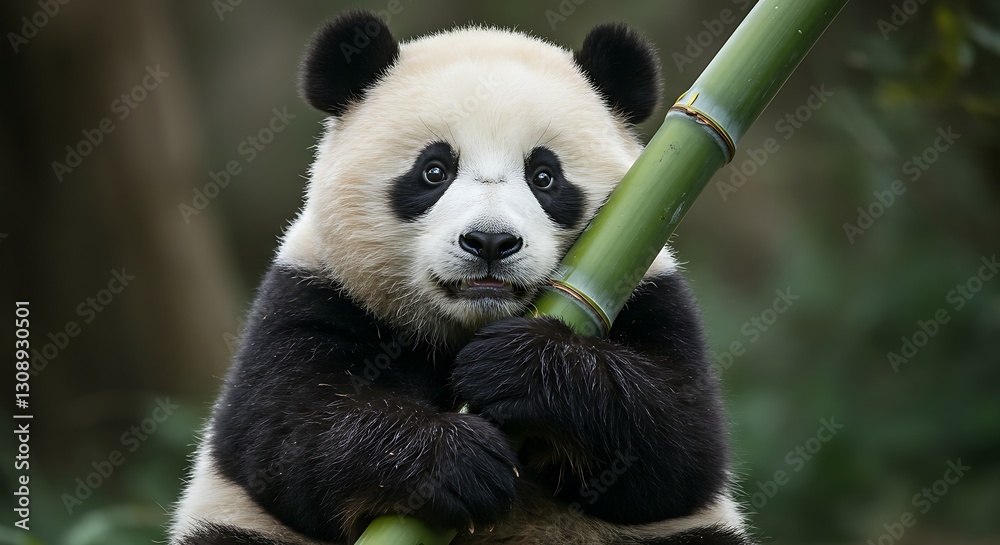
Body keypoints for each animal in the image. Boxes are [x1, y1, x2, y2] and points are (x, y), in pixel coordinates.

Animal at [170, 10, 755, 545]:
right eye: (434, 170)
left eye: (545, 176)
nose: (490, 243)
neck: (463, 325)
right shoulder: (314, 291)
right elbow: (287, 432)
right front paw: (453, 460)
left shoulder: (650, 293)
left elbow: (680, 443)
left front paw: (519, 368)